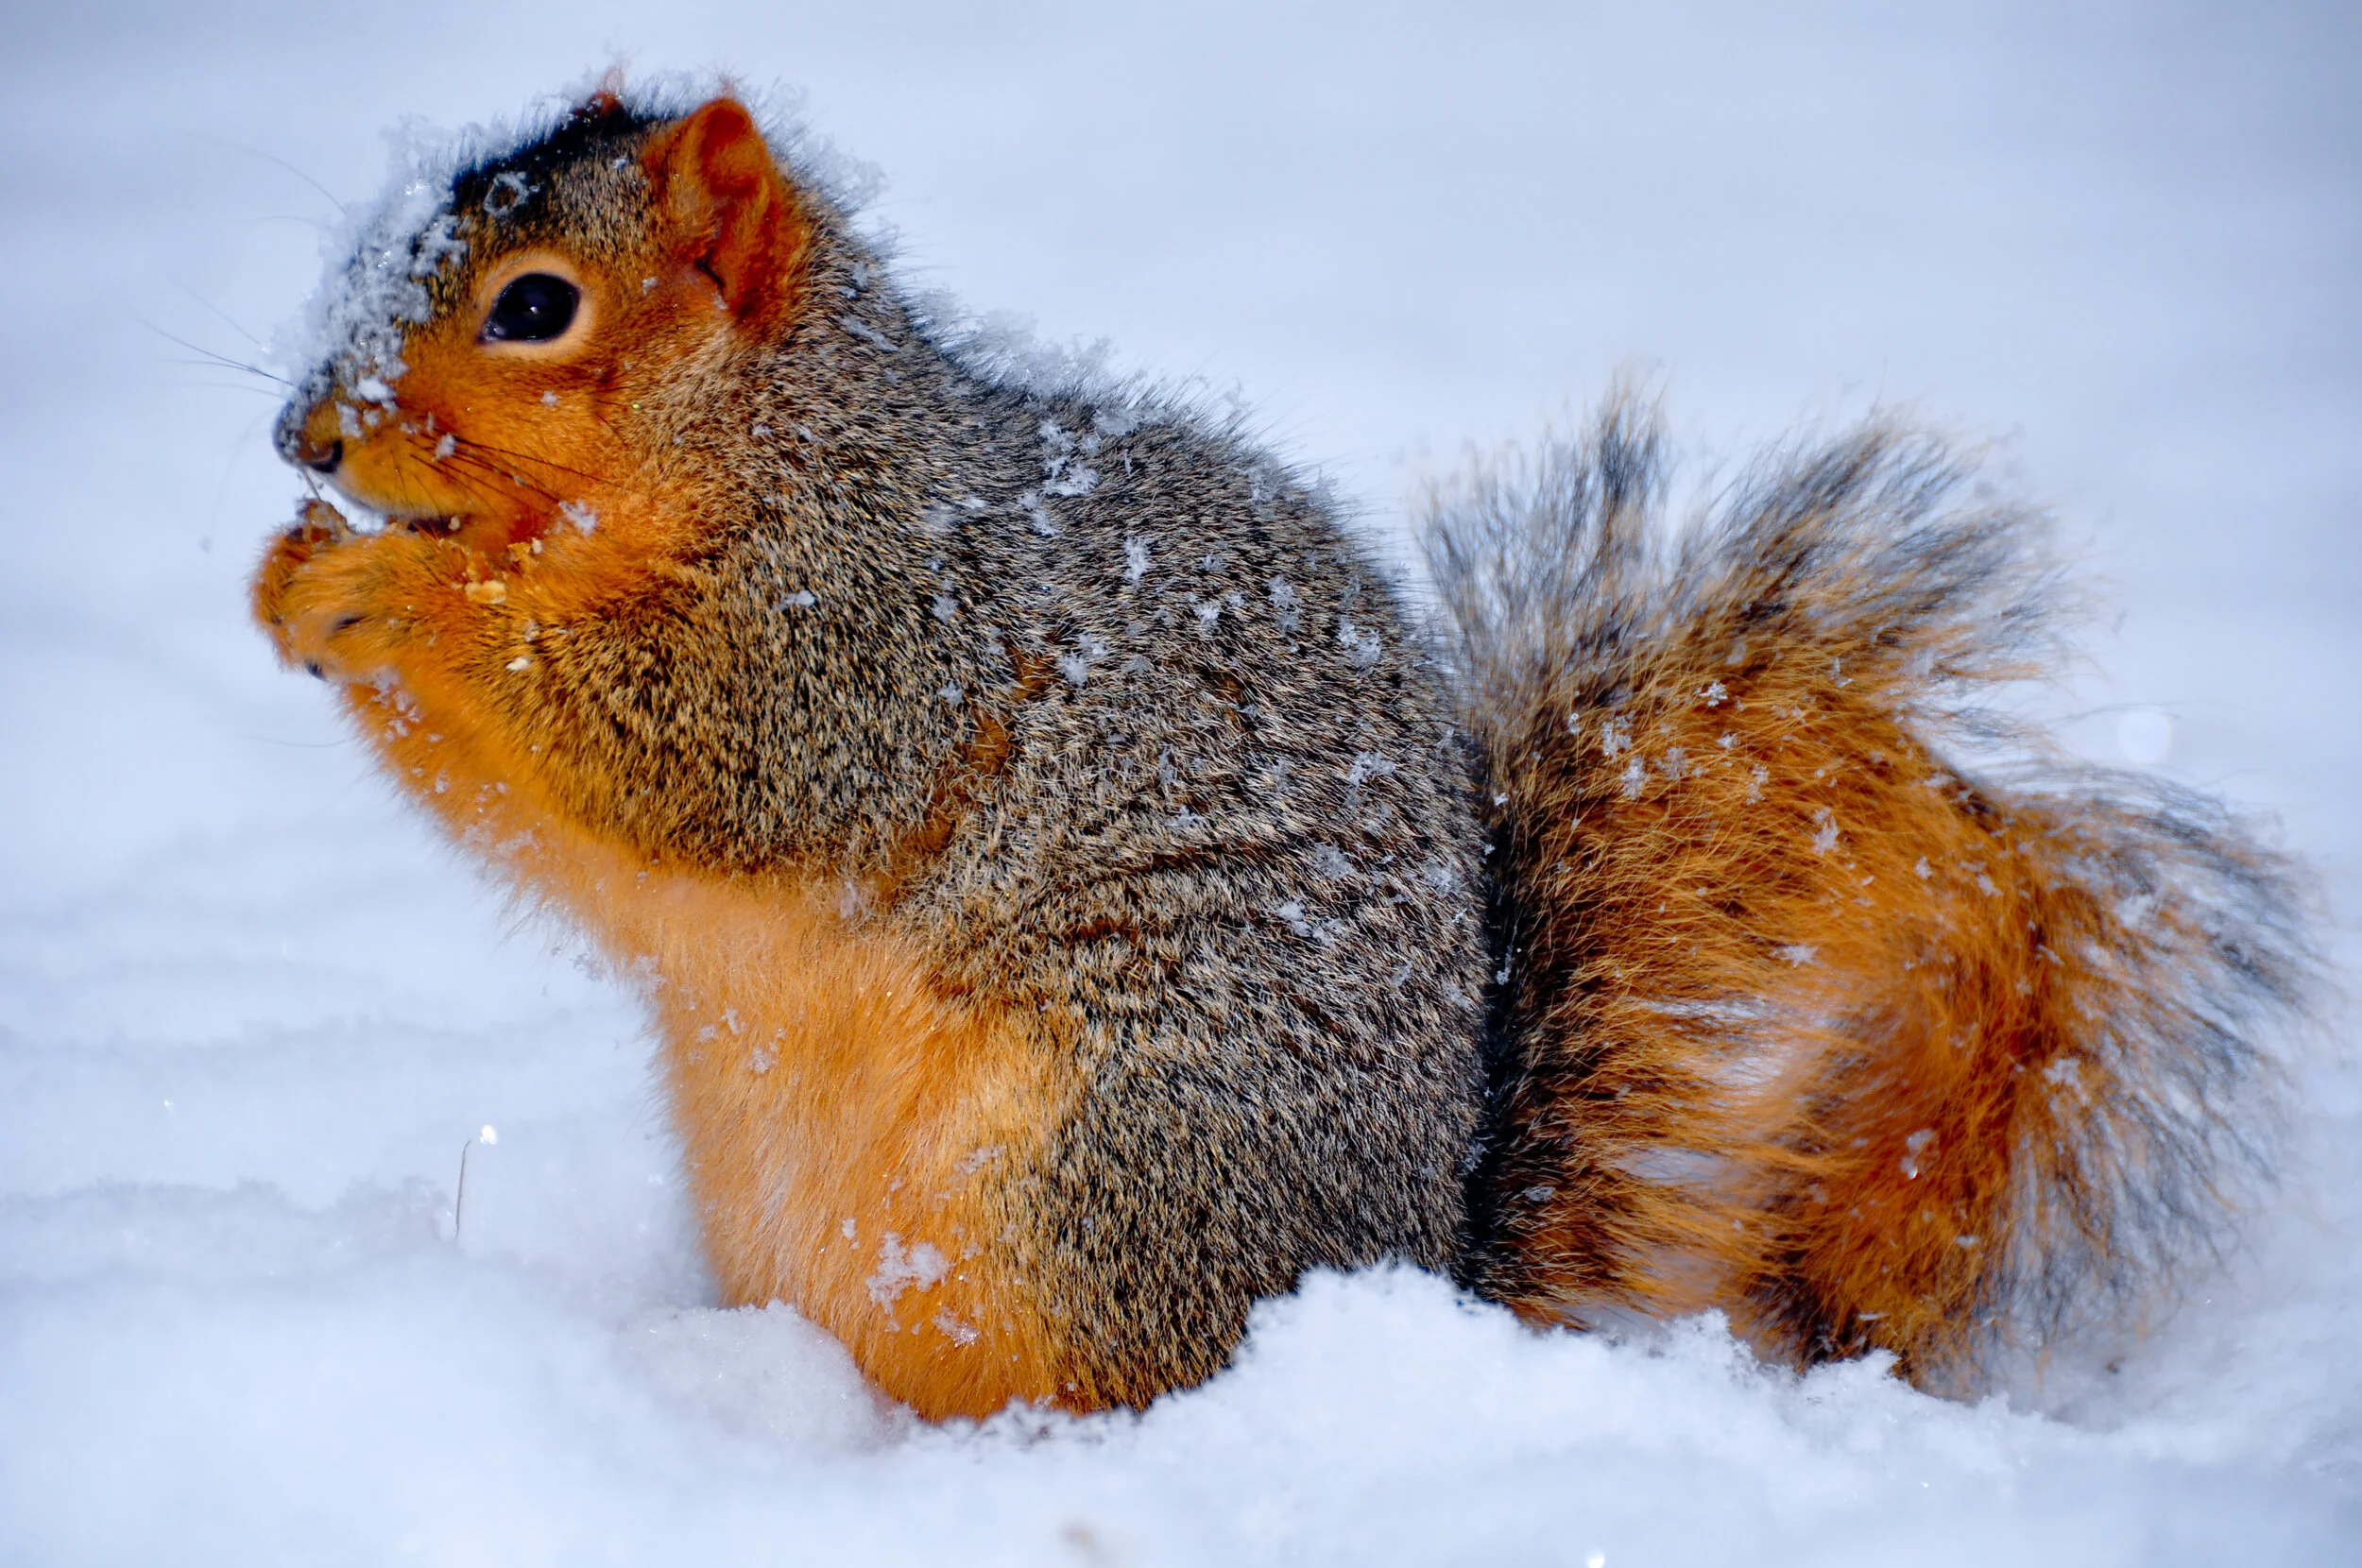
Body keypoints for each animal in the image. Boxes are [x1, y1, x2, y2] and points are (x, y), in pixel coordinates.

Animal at [252, 86, 2312, 1420]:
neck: (776, 440)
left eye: (536, 306)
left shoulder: (878, 634)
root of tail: (1406, 1275)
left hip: (1108, 1157)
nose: (304, 438)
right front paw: (297, 578)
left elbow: (701, 759)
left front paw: (388, 592)